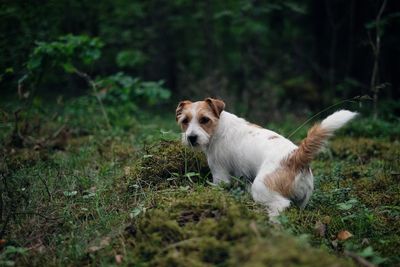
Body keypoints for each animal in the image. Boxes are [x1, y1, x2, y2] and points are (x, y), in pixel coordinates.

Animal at [175, 98, 356, 220]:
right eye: (185, 121)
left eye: (205, 119)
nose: (191, 138)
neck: (219, 127)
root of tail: (295, 157)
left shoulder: (220, 173)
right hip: (303, 198)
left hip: (261, 188)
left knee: (281, 206)